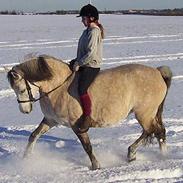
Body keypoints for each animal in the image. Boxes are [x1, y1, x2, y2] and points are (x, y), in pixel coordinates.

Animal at [7, 54, 172, 170]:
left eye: (22, 90)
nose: (25, 111)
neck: (59, 87)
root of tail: (158, 72)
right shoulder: (50, 120)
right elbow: (33, 136)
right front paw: (26, 159)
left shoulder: (77, 126)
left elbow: (87, 146)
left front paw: (95, 166)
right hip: (149, 114)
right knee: (159, 131)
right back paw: (159, 155)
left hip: (144, 114)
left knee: (152, 131)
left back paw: (134, 153)